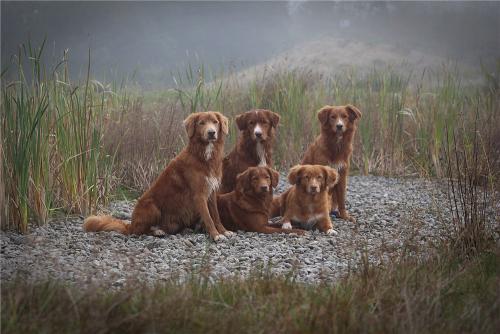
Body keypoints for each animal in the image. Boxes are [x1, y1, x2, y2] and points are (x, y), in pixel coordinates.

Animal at [84, 111, 232, 241]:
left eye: (215, 122)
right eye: (201, 123)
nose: (211, 132)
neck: (203, 156)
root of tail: (130, 224)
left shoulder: (211, 192)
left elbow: (216, 216)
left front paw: (223, 231)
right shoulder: (199, 195)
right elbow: (208, 217)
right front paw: (215, 235)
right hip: (152, 207)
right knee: (139, 231)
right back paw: (157, 231)